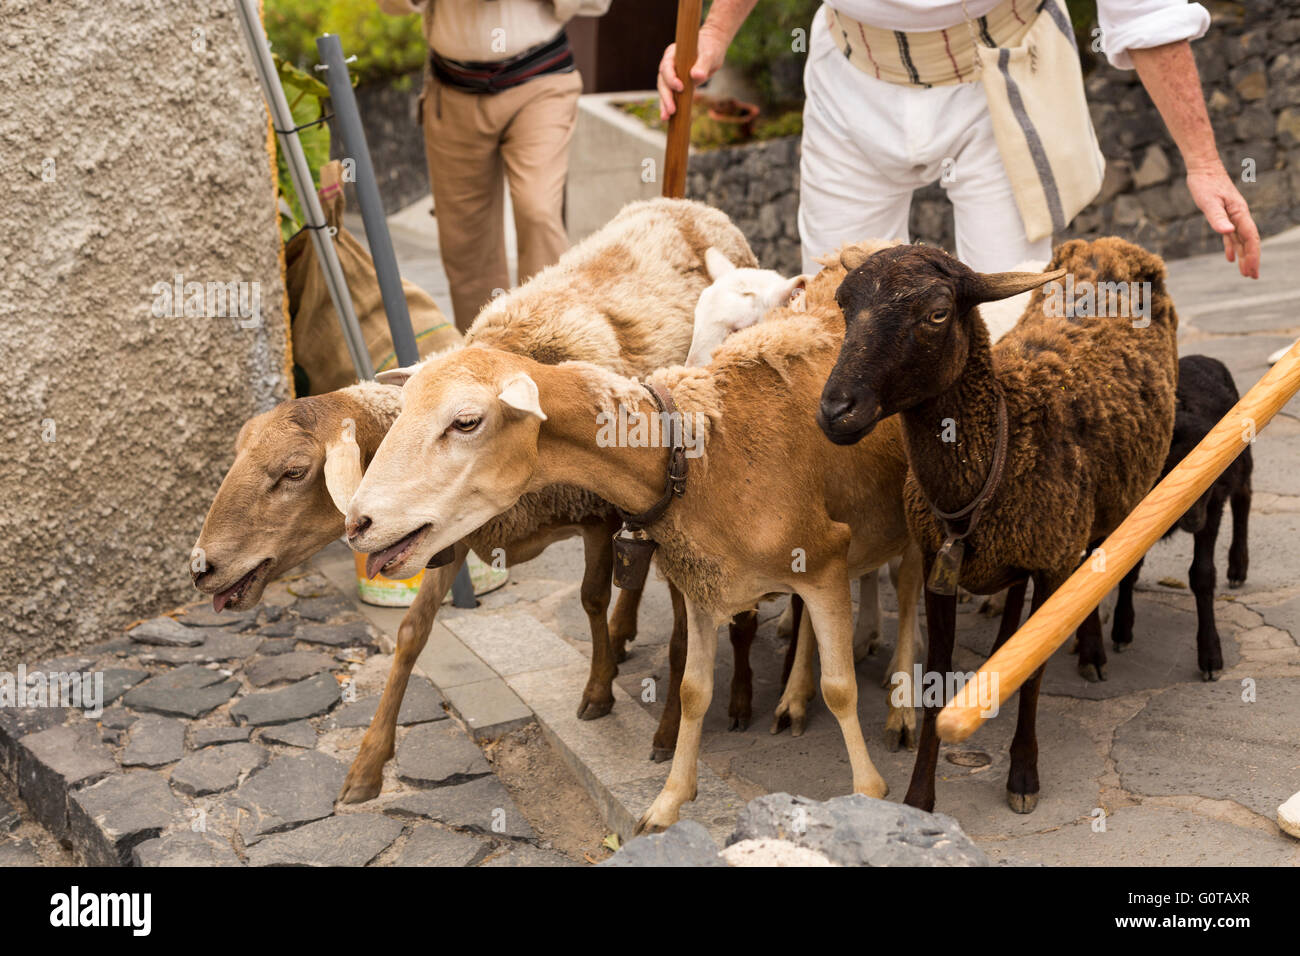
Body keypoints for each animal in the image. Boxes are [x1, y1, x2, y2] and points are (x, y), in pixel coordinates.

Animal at [818, 238, 1179, 814]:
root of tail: (1109, 245)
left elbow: (1033, 674)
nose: (835, 410)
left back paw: (1091, 650)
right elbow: (936, 682)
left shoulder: (1053, 562)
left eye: (938, 312)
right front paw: (920, 796)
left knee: (1096, 561)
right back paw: (1003, 646)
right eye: (844, 305)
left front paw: (1023, 776)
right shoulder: (937, 568)